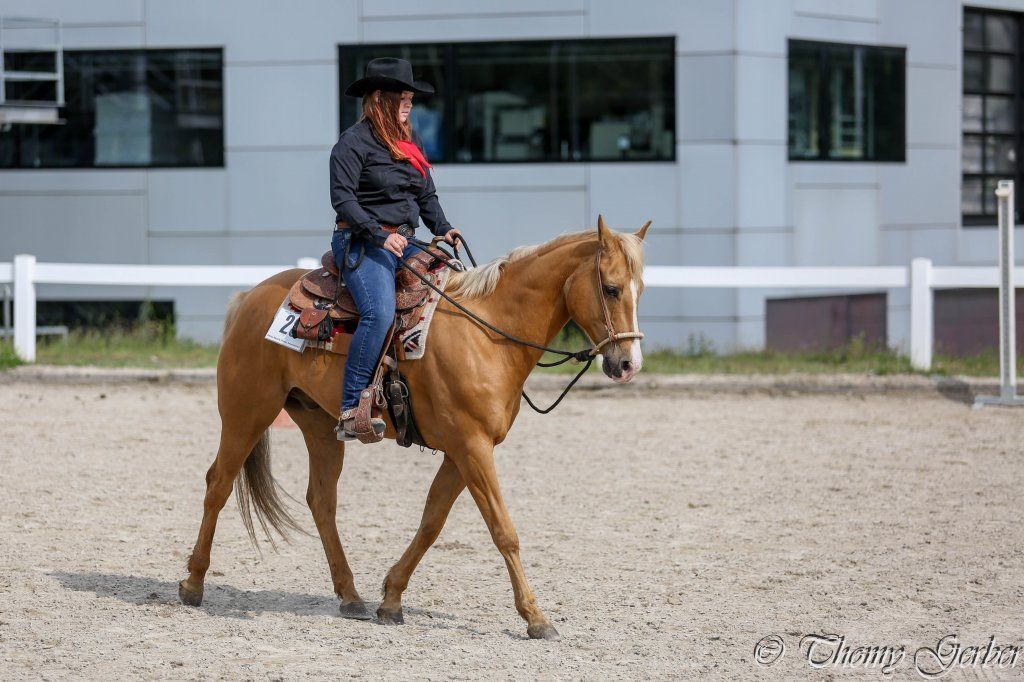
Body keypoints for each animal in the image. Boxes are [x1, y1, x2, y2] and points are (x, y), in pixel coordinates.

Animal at [178, 216, 650, 640]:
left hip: (319, 425)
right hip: (247, 411)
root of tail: (249, 297)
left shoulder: (464, 452)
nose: (629, 365)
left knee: (322, 501)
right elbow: (503, 531)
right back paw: (193, 584)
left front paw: (391, 599)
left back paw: (351, 596)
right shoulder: (472, 447)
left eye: (639, 289)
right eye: (611, 288)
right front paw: (536, 617)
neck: (488, 335)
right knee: (218, 483)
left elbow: (431, 523)